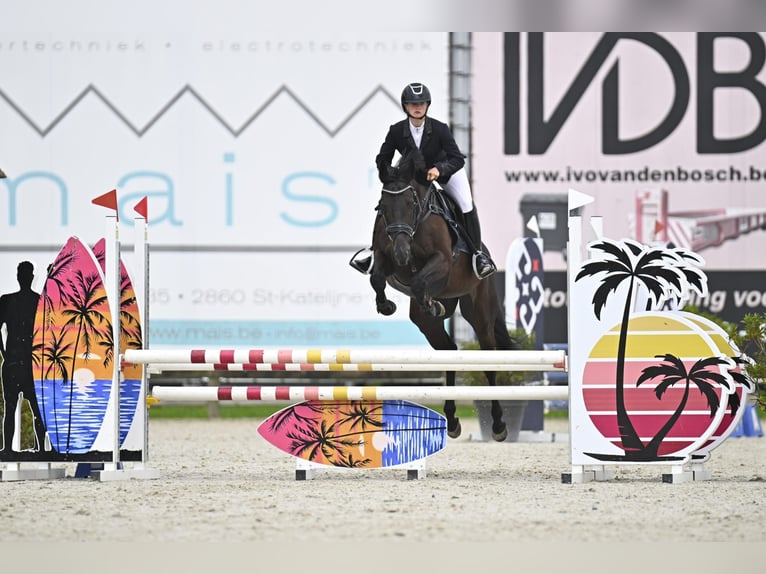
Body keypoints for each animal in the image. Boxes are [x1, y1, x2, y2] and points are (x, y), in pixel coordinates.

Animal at [368, 151, 520, 444]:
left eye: (410, 203)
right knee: (449, 351)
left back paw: (498, 425)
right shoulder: (385, 256)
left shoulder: (441, 261)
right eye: (382, 206)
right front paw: (386, 304)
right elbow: (377, 278)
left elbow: (418, 280)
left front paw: (427, 301)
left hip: (480, 312)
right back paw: (452, 420)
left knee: (489, 361)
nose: (402, 253)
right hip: (426, 322)